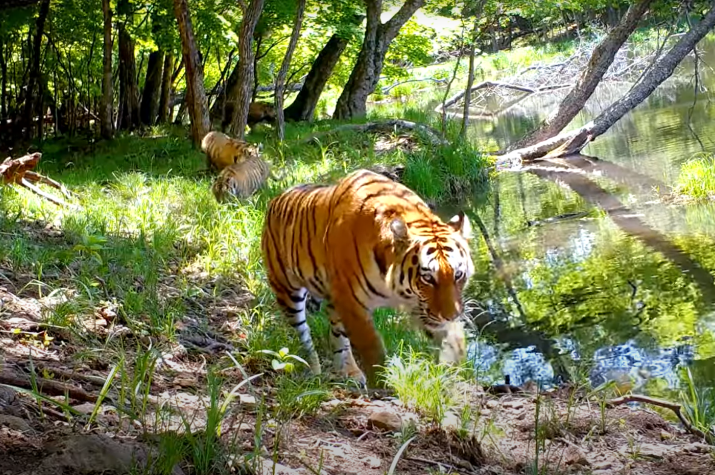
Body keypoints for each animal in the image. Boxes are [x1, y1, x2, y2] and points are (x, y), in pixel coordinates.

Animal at [262, 169, 476, 388]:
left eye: (458, 274)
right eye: (427, 278)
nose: (450, 316)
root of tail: (276, 198)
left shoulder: (418, 305)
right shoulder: (352, 304)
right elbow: (373, 349)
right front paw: (383, 384)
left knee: (336, 335)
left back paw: (349, 372)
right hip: (288, 294)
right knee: (304, 336)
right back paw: (314, 371)